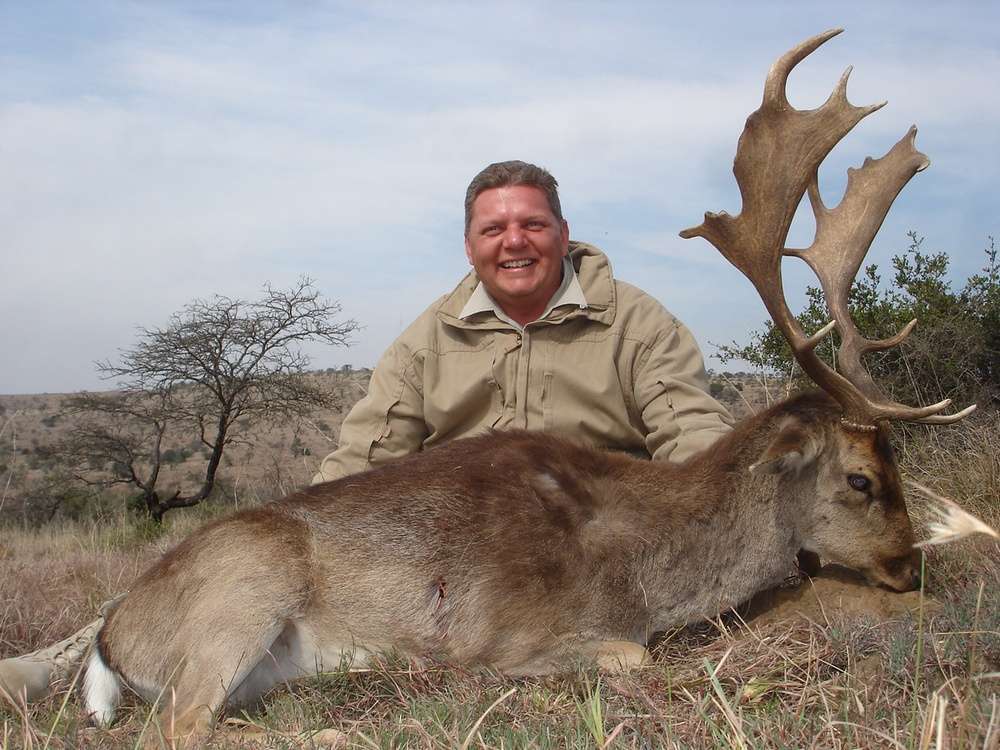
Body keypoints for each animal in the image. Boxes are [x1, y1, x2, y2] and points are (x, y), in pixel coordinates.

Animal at [81, 30, 973, 748]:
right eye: (861, 479)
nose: (909, 568)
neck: (645, 567)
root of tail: (109, 637)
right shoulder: (511, 636)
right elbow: (628, 655)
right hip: (243, 590)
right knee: (175, 727)